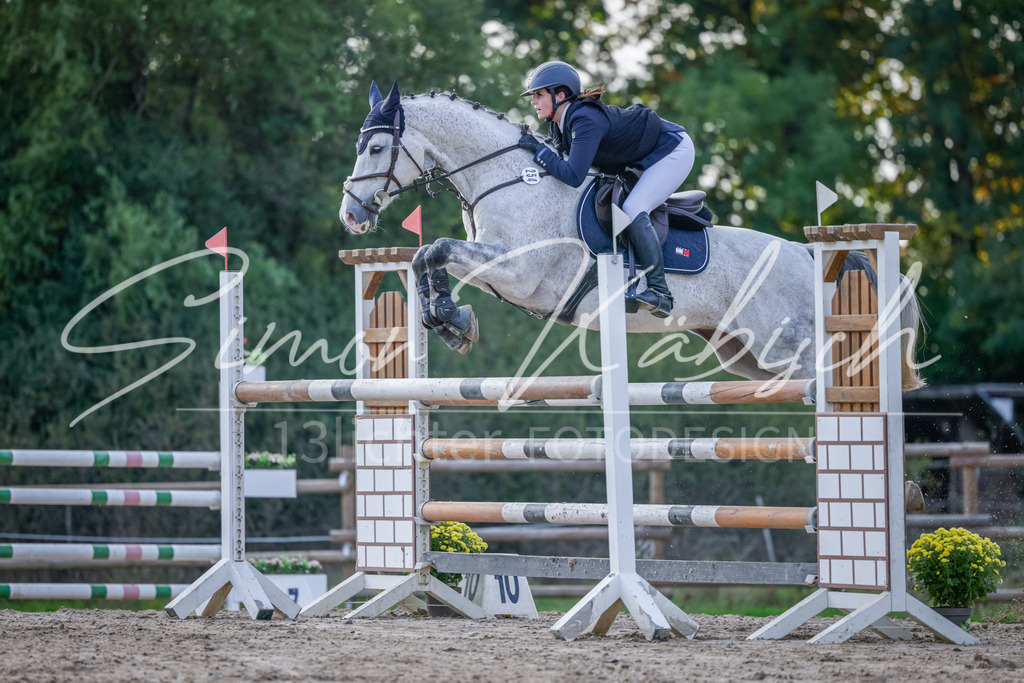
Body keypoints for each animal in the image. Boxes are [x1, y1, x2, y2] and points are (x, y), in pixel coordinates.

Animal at [340, 82, 924, 390]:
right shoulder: (498, 270)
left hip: (794, 352)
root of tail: (806, 253)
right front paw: (451, 321)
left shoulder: (521, 271)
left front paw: (450, 318)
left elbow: (437, 249)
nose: (350, 215)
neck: (508, 177)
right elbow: (426, 257)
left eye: (376, 149)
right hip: (745, 354)